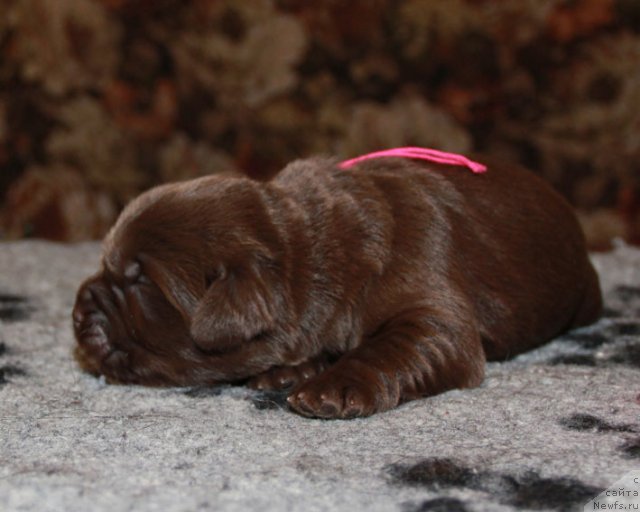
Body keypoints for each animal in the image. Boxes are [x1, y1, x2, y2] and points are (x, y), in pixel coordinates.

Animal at [72, 154, 604, 418]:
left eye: (141, 281)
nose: (78, 311)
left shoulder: (430, 300)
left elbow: (398, 344)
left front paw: (332, 387)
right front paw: (290, 370)